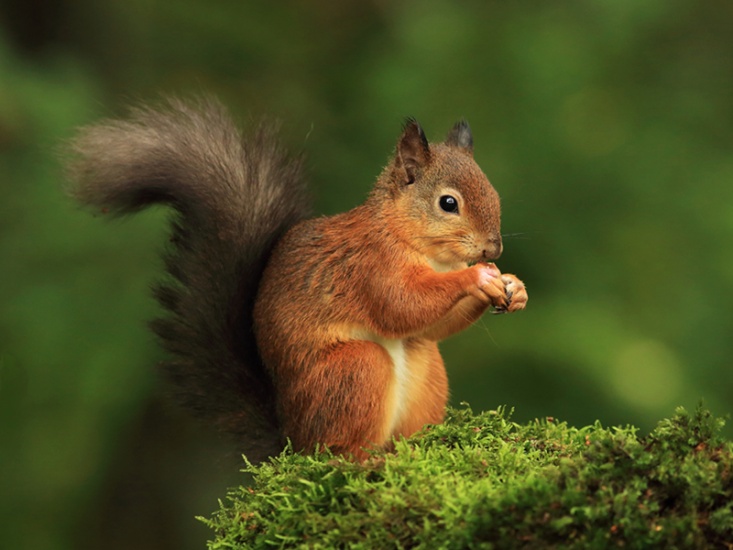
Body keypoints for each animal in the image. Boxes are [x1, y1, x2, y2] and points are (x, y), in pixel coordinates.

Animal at [65, 96, 527, 462]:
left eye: (494, 194)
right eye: (448, 203)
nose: (493, 250)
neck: (416, 243)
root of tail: (292, 439)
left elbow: (432, 326)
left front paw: (514, 288)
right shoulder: (370, 267)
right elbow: (401, 305)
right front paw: (476, 277)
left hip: (425, 368)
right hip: (353, 371)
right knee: (338, 449)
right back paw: (364, 459)